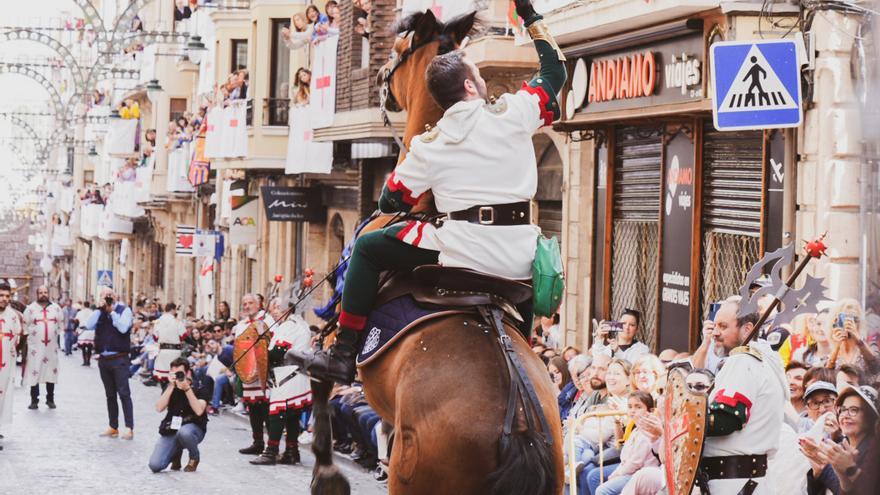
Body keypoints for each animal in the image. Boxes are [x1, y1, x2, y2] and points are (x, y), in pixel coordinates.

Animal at [302, 10, 564, 495]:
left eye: (400, 49)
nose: (382, 76)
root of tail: (519, 425)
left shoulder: (328, 333)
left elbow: (322, 380)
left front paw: (327, 470)